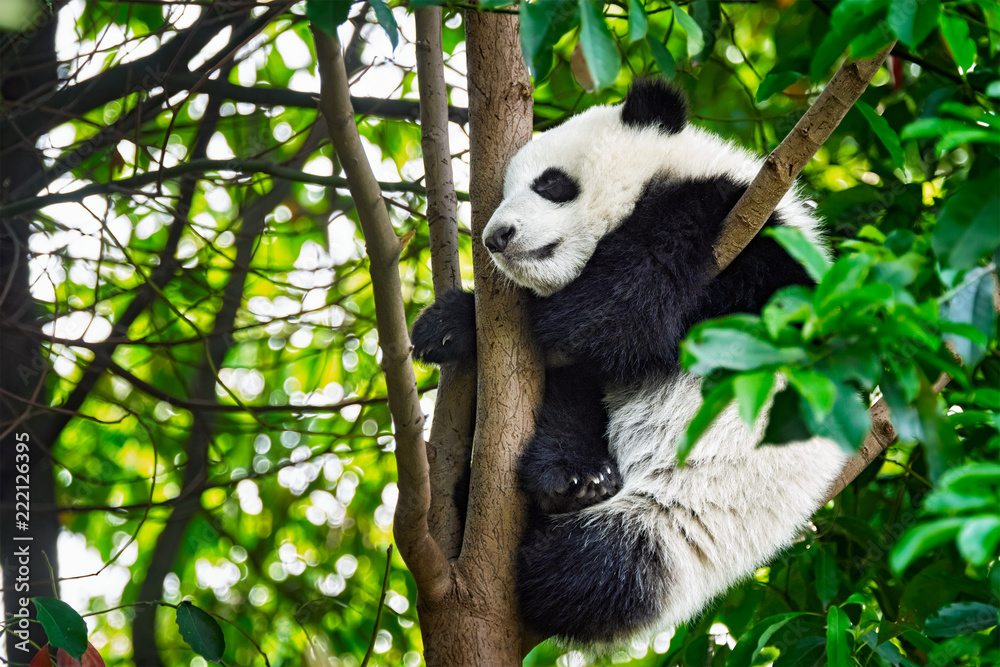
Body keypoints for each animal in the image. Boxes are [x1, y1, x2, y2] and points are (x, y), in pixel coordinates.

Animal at [411, 79, 849, 647]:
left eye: (551, 184)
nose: (496, 238)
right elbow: (582, 350)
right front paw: (443, 329)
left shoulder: (745, 239)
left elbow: (618, 312)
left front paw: (498, 316)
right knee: (572, 402)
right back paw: (574, 478)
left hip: (680, 526)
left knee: (592, 570)